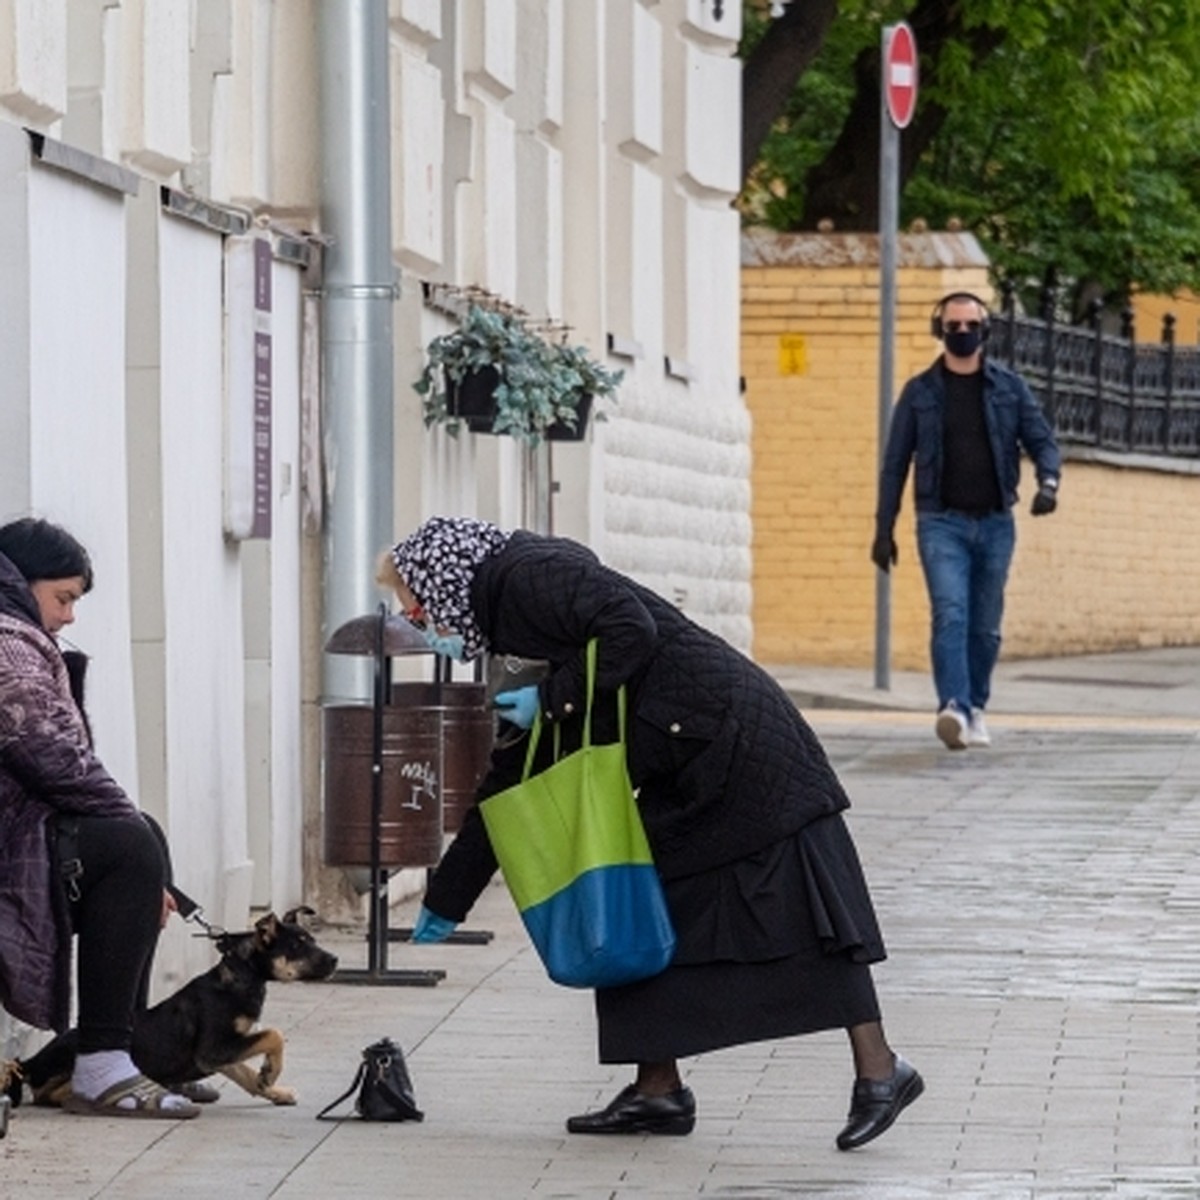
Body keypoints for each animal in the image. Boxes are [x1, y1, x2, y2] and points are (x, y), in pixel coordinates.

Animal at [5, 907, 338, 1104]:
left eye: (312, 940)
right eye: (297, 946)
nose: (335, 960)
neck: (243, 973)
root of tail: (30, 1061)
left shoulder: (220, 1055)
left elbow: (245, 1073)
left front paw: (272, 1087)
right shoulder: (214, 1048)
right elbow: (274, 1035)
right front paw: (272, 1072)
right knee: (47, 1093)